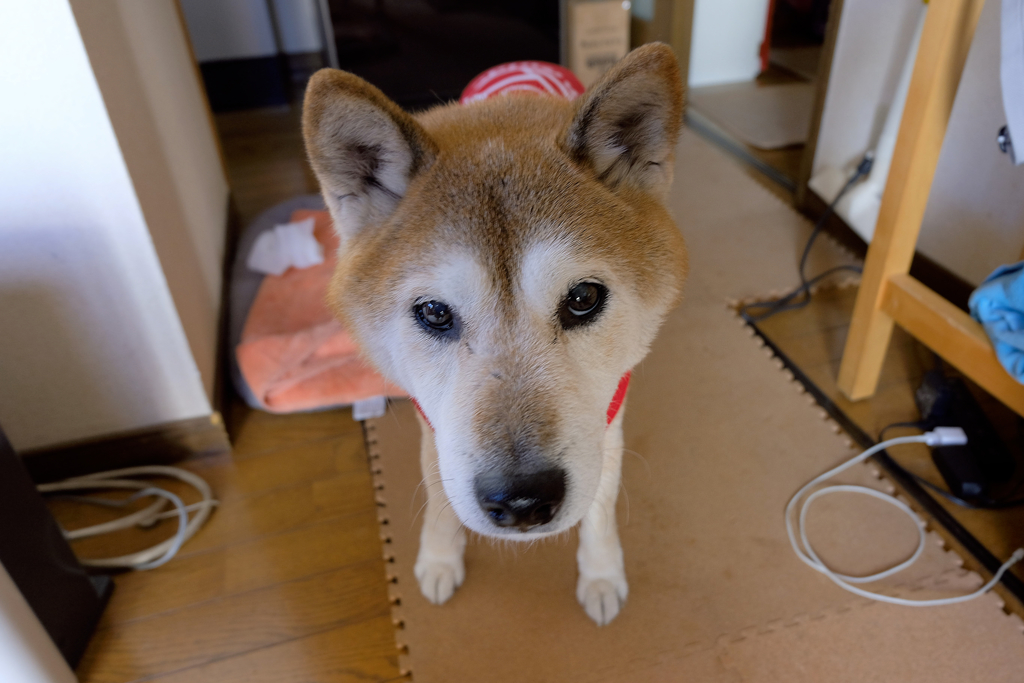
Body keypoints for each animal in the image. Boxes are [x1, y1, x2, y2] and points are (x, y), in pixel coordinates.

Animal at [303, 44, 688, 626]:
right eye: (434, 312)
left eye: (583, 298)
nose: (523, 501)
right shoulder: (435, 428)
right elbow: (440, 502)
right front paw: (440, 559)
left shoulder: (608, 422)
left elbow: (599, 511)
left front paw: (601, 574)